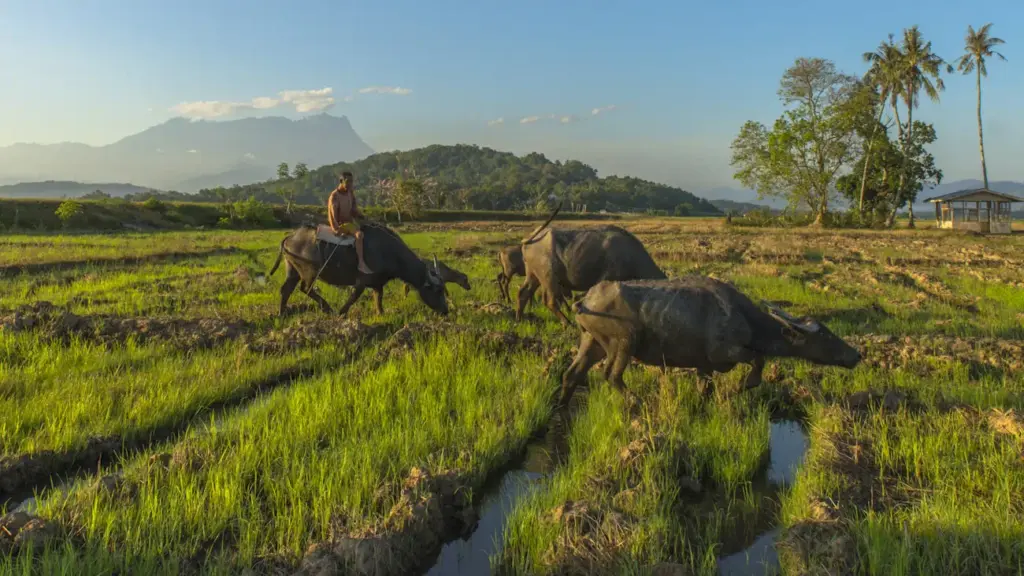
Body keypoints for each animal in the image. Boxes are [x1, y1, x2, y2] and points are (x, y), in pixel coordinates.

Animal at [560, 276, 862, 405]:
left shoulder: (703, 365)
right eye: (824, 335)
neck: (744, 317)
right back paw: (635, 401)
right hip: (623, 342)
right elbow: (758, 361)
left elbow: (704, 387)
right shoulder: (725, 353)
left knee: (572, 373)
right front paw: (737, 388)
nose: (857, 355)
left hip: (591, 342)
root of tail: (586, 300)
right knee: (611, 375)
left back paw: (561, 405)